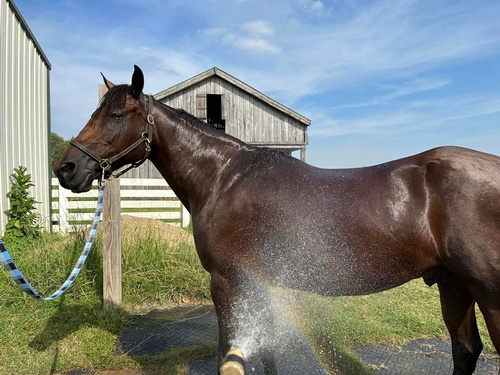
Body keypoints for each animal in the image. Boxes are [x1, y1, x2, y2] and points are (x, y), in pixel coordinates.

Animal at [53, 66, 500, 374]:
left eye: (115, 115)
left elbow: (229, 351)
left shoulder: (227, 282)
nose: (66, 168)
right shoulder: (258, 283)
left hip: (488, 295)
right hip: (454, 285)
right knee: (465, 351)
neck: (224, 179)